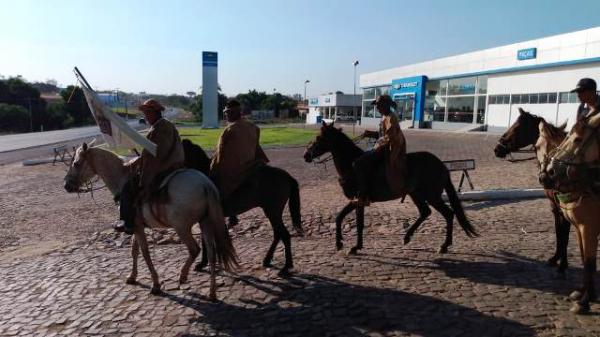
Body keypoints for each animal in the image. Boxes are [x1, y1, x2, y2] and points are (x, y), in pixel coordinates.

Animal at [63, 142, 237, 300]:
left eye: (76, 164)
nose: (66, 185)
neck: (122, 179)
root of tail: (205, 184)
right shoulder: (135, 226)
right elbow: (134, 251)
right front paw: (132, 277)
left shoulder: (137, 227)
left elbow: (145, 253)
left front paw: (155, 284)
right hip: (205, 222)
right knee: (212, 253)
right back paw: (212, 293)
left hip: (181, 227)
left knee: (194, 249)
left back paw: (183, 276)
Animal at [182, 139, 304, 276]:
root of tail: (287, 177)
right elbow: (205, 240)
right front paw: (204, 263)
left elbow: (205, 241)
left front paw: (202, 263)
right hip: (272, 213)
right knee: (278, 234)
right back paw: (268, 260)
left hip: (273, 212)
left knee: (284, 235)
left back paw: (286, 267)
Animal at [304, 122, 478, 253]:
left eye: (319, 137)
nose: (306, 155)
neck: (351, 165)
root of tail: (441, 165)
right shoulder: (356, 201)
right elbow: (340, 217)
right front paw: (342, 243)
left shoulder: (359, 200)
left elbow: (357, 223)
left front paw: (353, 246)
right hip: (416, 194)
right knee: (425, 212)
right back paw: (407, 237)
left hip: (432, 196)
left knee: (448, 214)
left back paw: (444, 245)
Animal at [492, 109, 572, 274]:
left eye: (516, 128)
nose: (497, 149)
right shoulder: (554, 206)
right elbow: (559, 232)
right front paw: (555, 259)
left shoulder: (565, 205)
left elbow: (565, 234)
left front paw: (563, 265)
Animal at [548, 112, 600, 312]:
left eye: (577, 139)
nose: (549, 171)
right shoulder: (579, 227)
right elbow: (585, 258)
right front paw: (583, 293)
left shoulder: (589, 227)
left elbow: (590, 261)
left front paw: (585, 301)